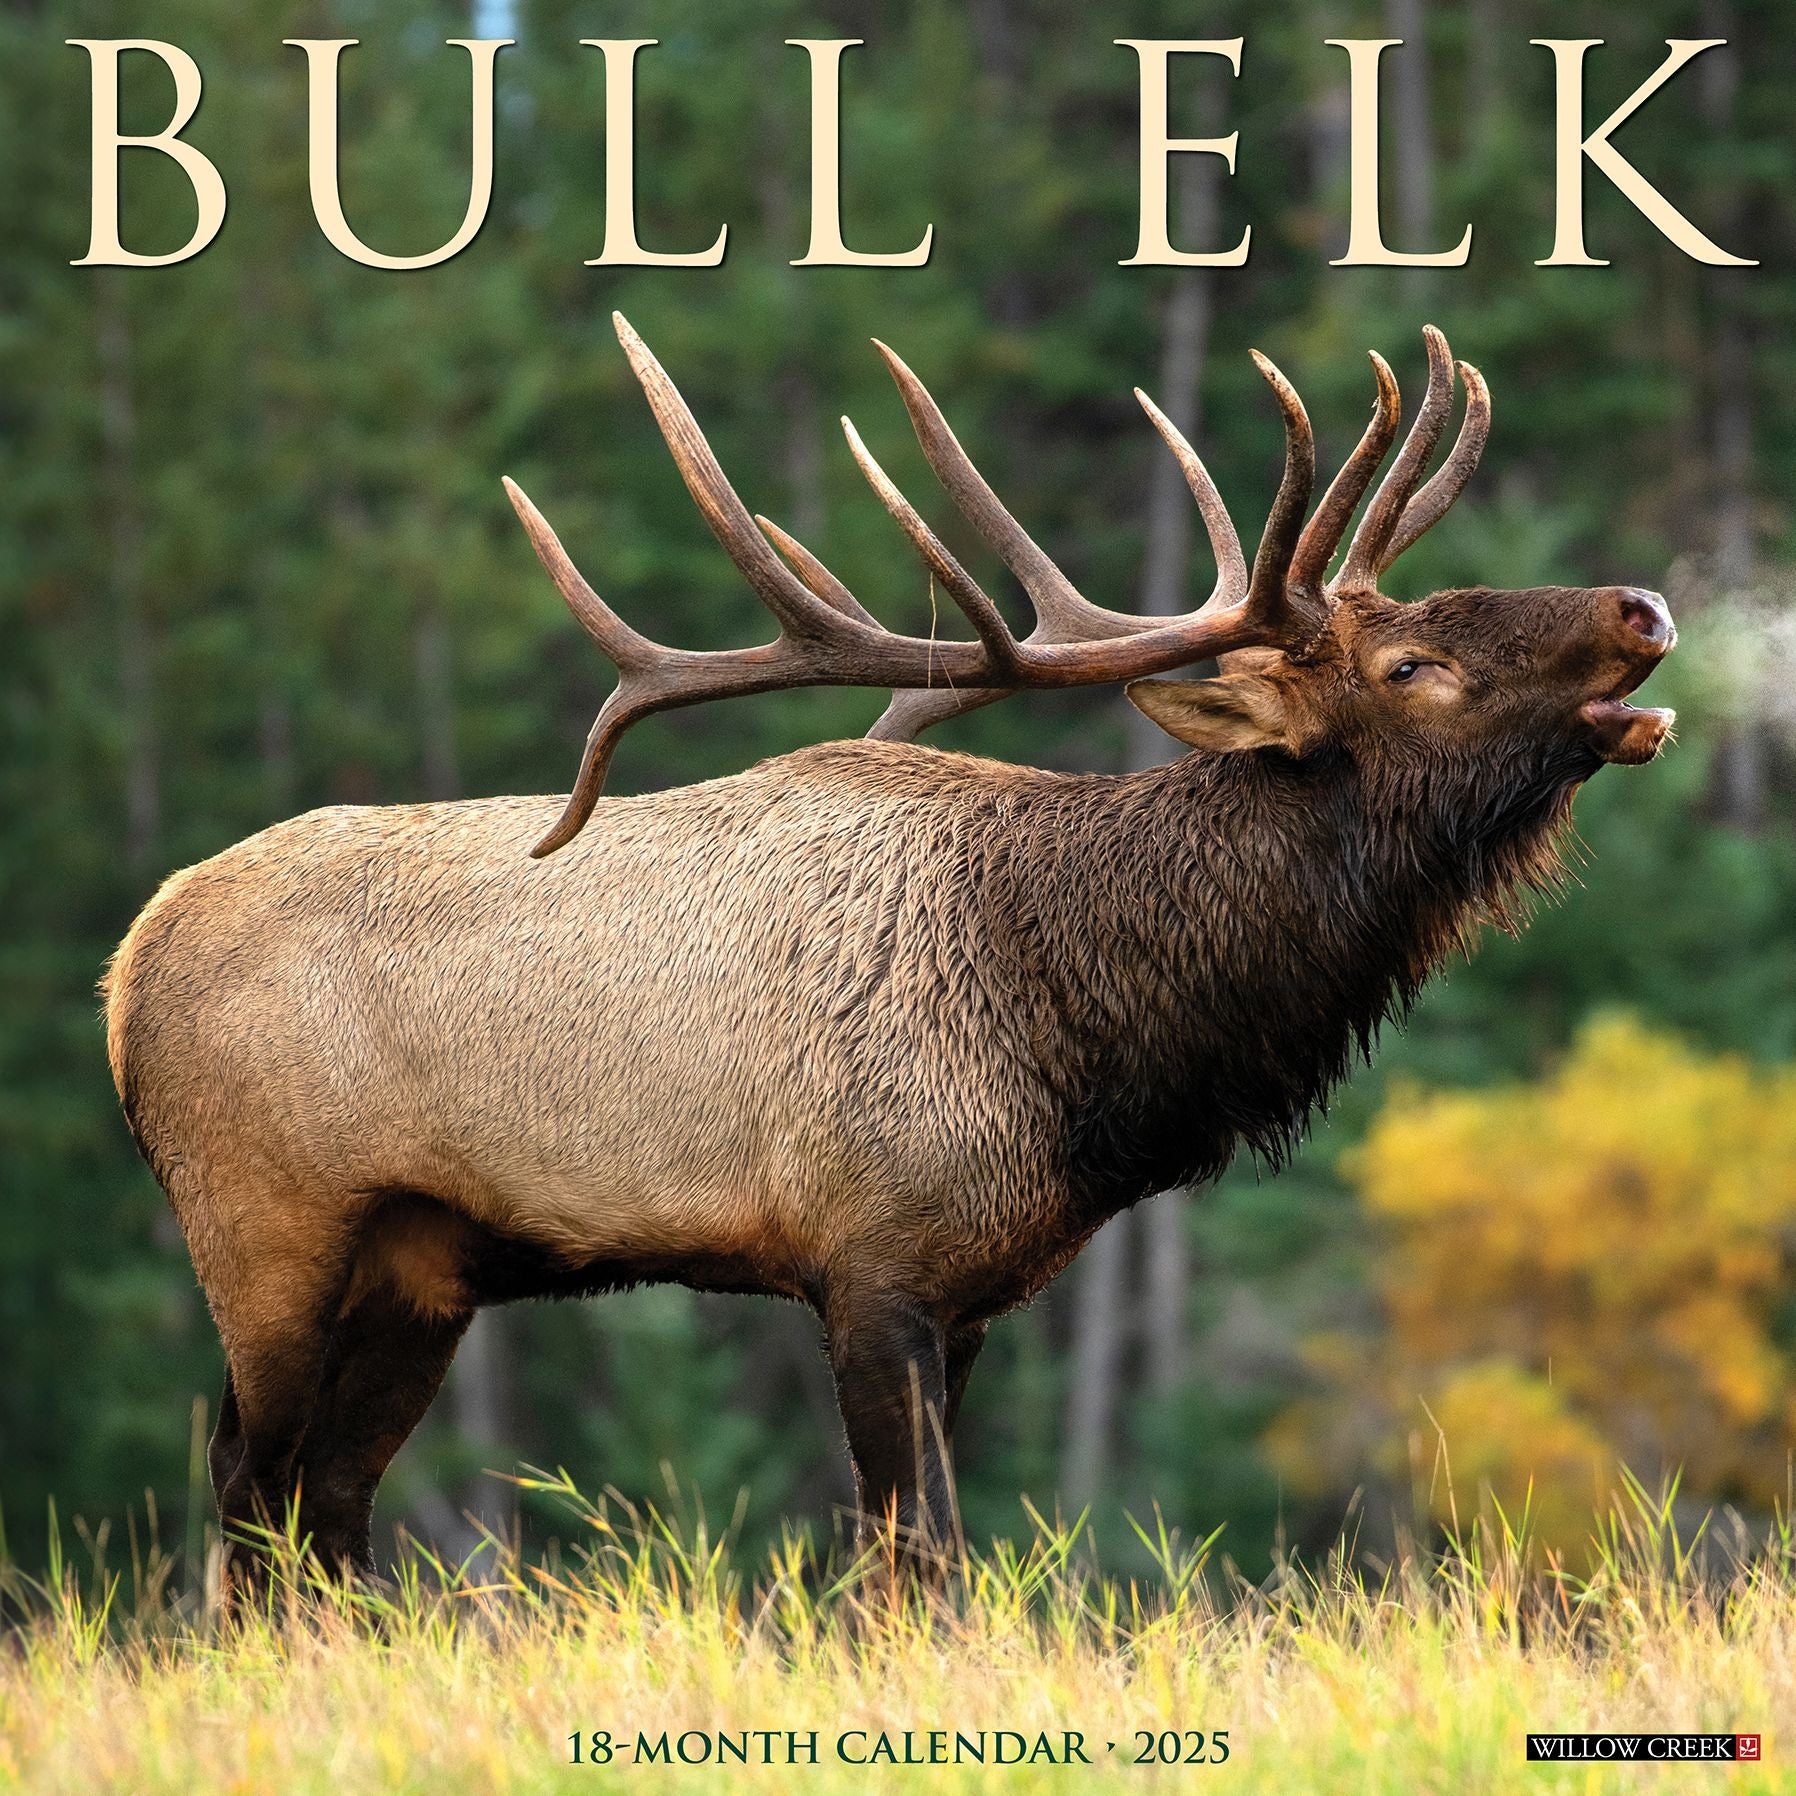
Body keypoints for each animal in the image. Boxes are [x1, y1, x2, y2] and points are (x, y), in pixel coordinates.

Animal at [103, 314, 1675, 1586]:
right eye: (1411, 664)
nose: (1642, 606)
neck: (1079, 1054)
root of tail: (124, 972)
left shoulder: (968, 1293)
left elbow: (892, 1564)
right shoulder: (868, 1260)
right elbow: (919, 1559)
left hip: (418, 1269)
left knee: (330, 1505)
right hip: (265, 1225)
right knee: (247, 1489)